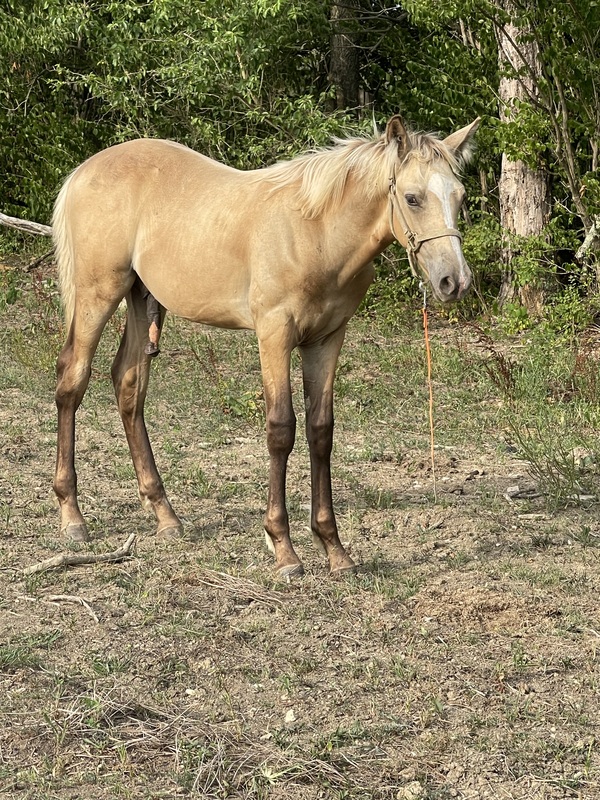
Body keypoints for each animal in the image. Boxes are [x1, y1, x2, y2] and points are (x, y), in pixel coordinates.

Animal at [54, 114, 480, 576]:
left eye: (459, 196)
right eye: (412, 198)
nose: (455, 281)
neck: (316, 234)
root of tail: (83, 171)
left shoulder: (326, 340)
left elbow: (320, 431)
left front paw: (334, 549)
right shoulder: (275, 334)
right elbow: (281, 429)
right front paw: (283, 548)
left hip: (141, 297)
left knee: (128, 385)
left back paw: (165, 515)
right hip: (98, 293)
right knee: (72, 381)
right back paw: (72, 516)